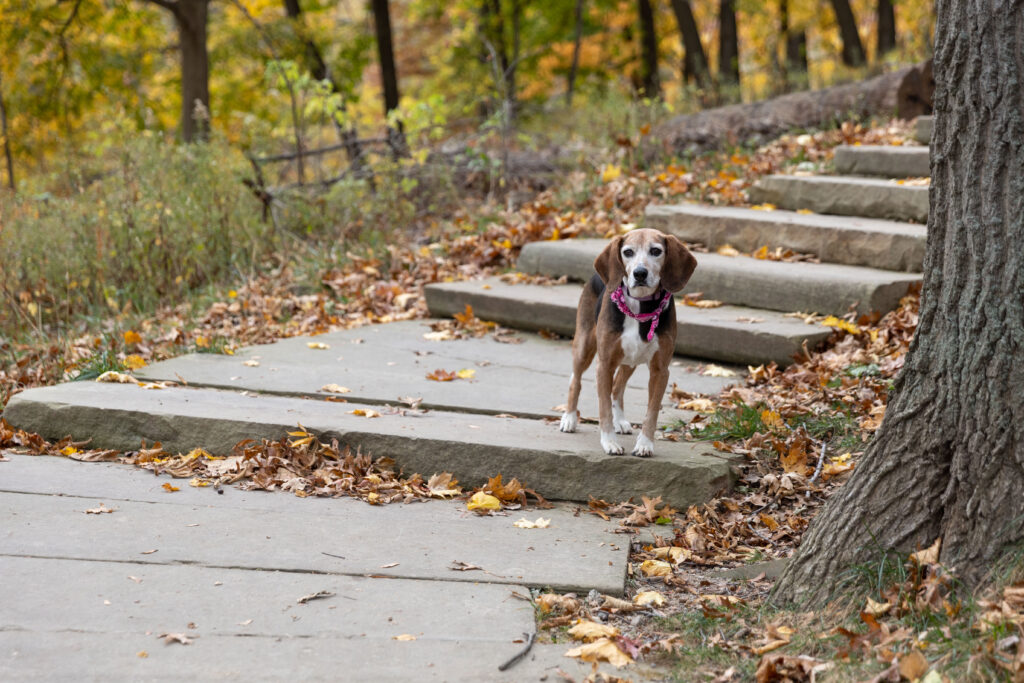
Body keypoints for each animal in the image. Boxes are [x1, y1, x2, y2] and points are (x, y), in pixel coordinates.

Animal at [561, 229, 696, 458]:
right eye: (628, 252)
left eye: (656, 251)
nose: (640, 273)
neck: (640, 307)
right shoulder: (604, 365)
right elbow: (604, 407)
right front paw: (609, 442)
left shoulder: (661, 370)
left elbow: (651, 412)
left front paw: (645, 444)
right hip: (585, 346)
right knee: (575, 381)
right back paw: (569, 418)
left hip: (629, 360)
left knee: (617, 386)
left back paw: (621, 422)